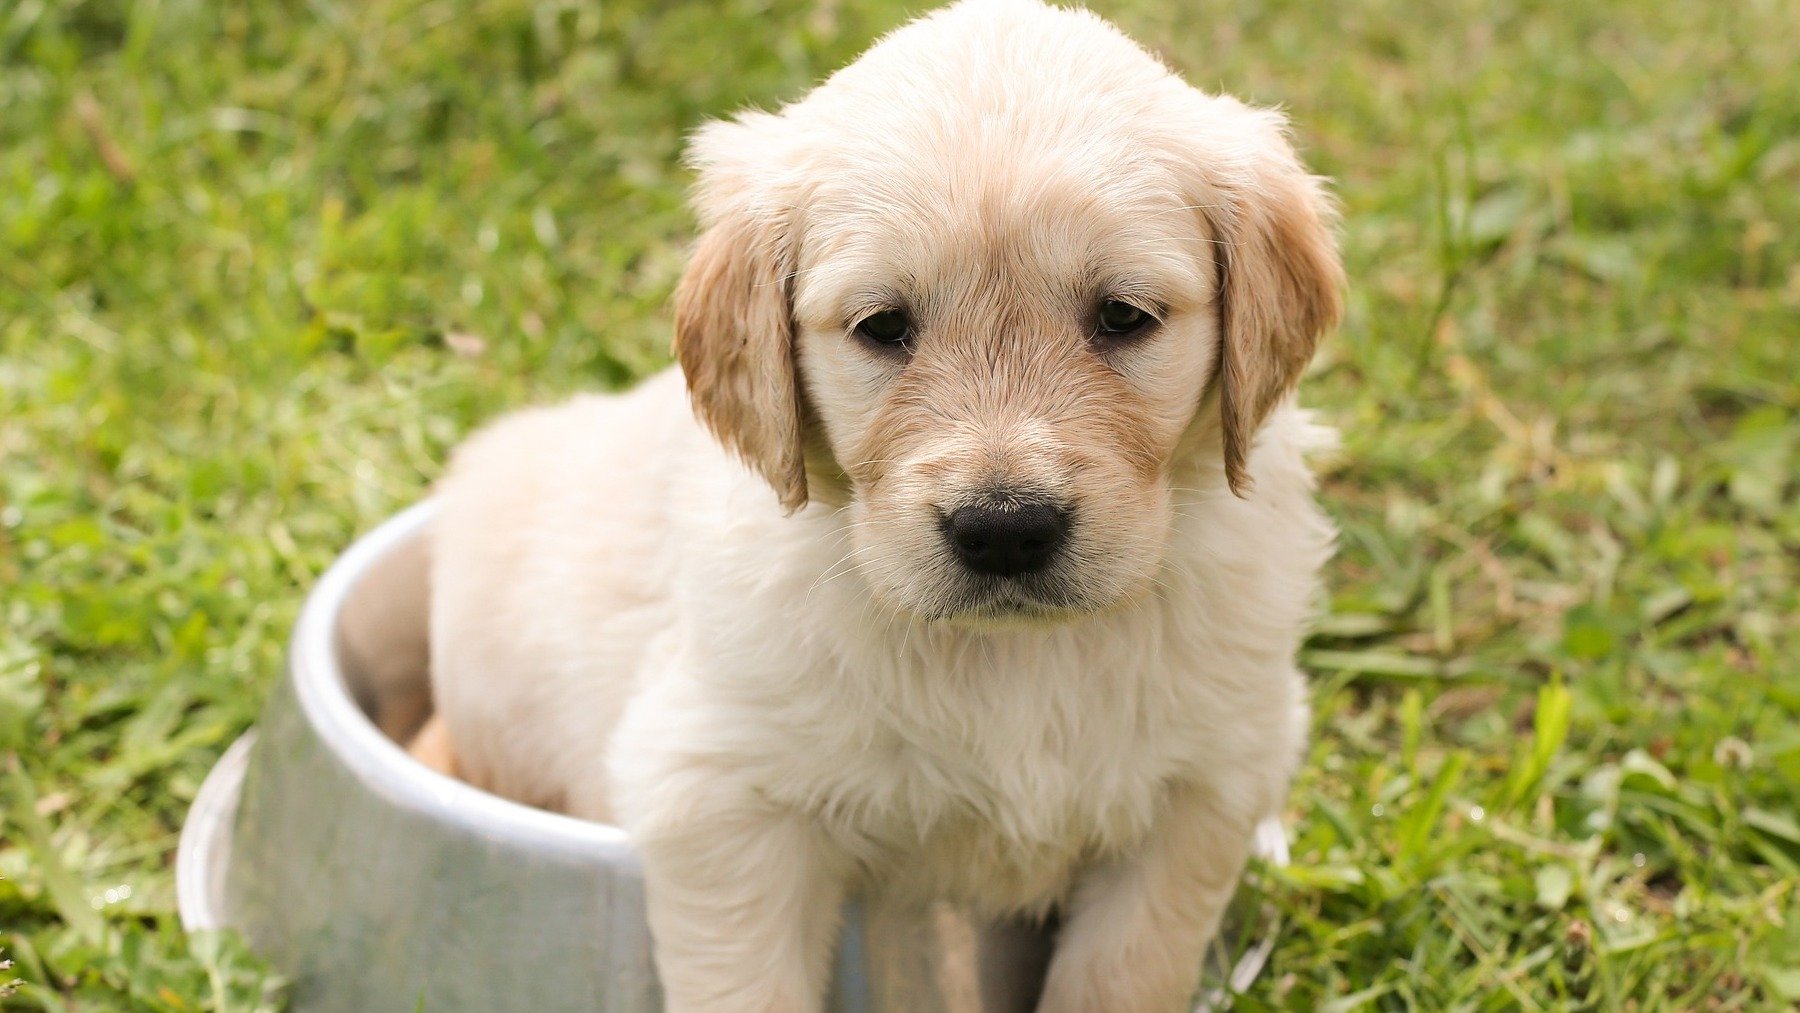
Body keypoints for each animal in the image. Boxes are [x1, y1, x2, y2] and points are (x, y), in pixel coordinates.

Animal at [428, 0, 1346, 1007]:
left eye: (1123, 316)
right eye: (883, 327)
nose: (1005, 530)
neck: (1014, 659)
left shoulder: (1206, 786)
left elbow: (1125, 970)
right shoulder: (718, 793)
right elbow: (747, 983)